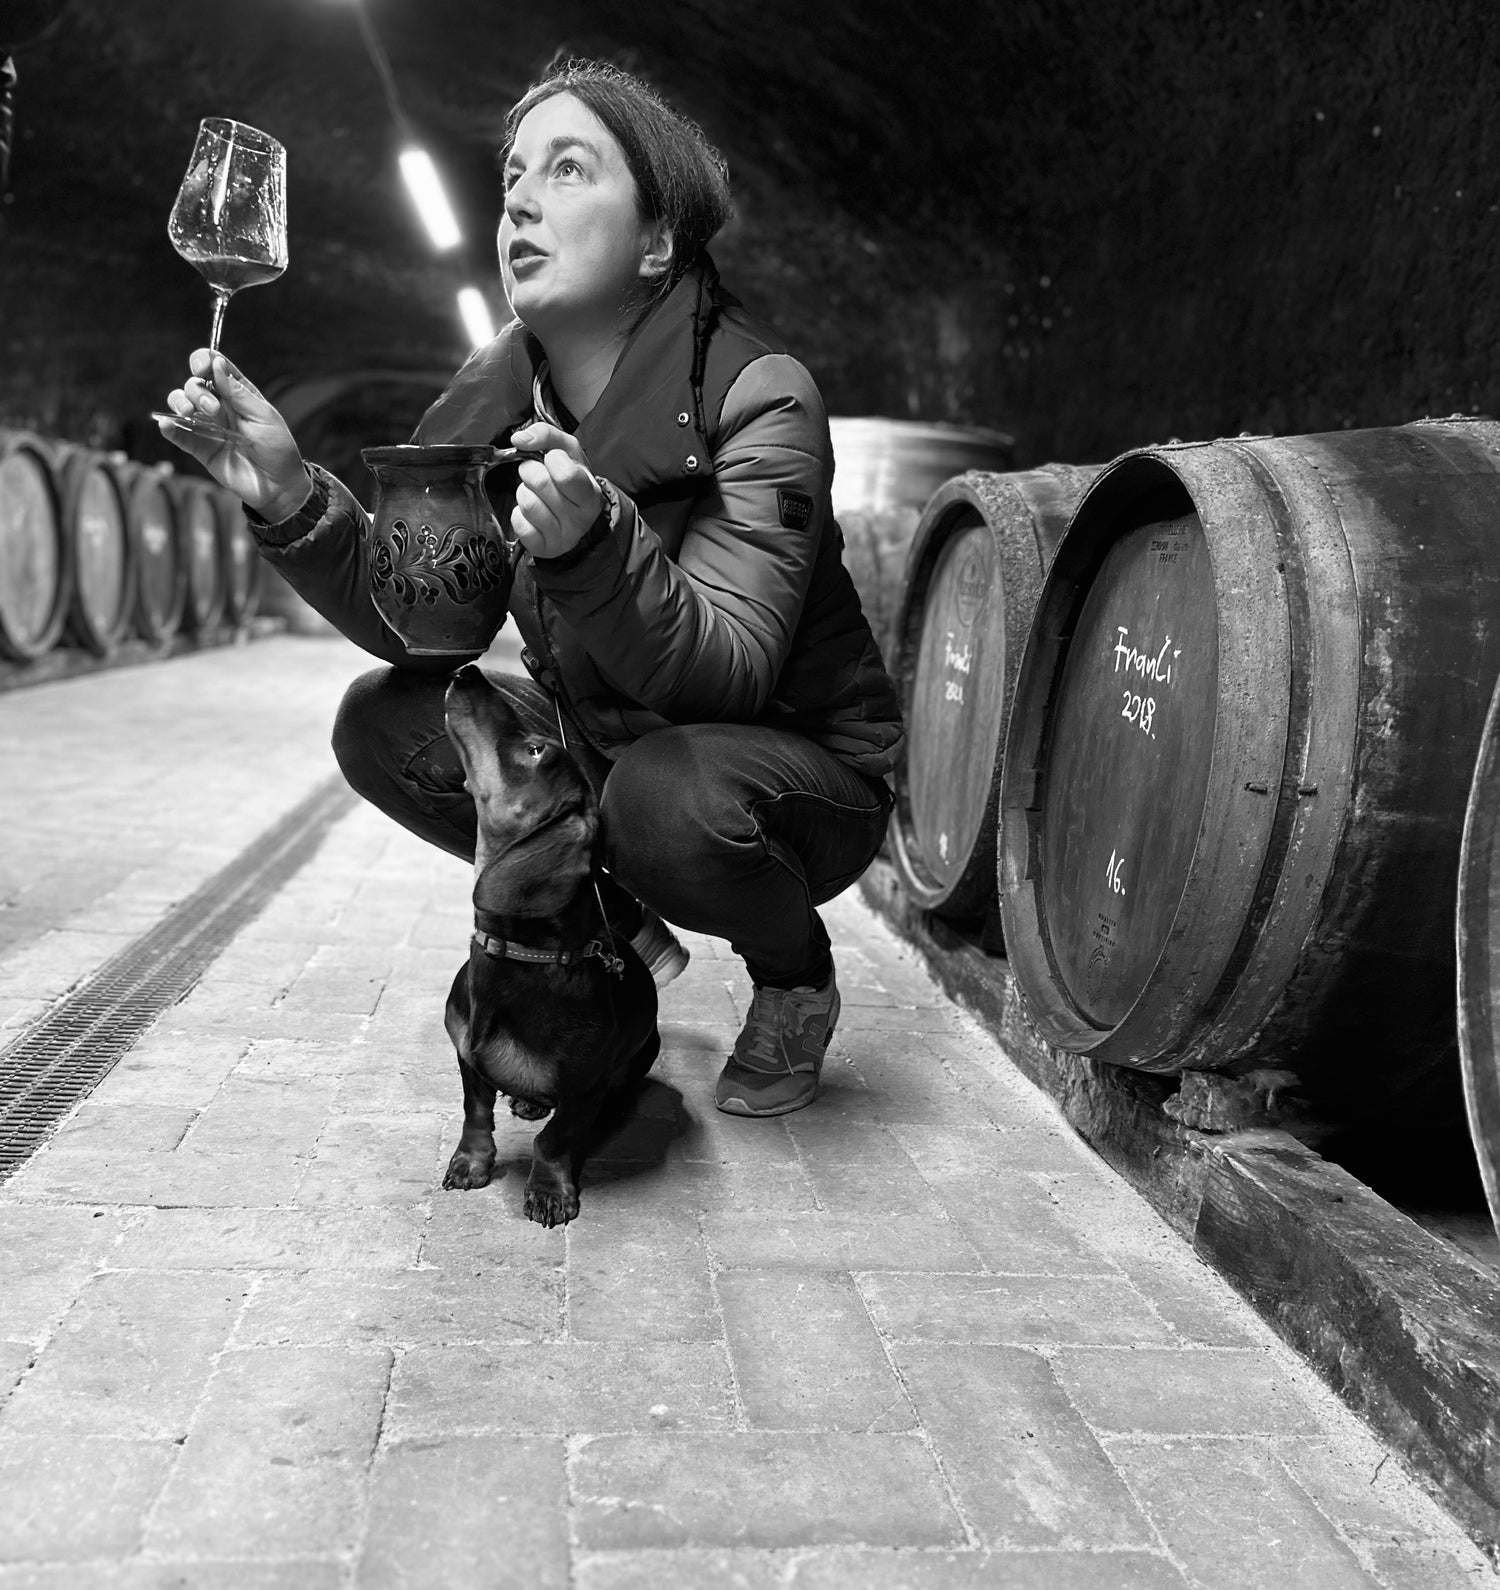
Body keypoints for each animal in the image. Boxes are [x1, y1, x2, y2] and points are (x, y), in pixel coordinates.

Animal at [440, 664, 659, 1226]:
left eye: (536, 749)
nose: (467, 671)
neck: (517, 953)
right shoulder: (467, 1056)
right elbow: (475, 1113)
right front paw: (470, 1162)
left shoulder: (584, 1086)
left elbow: (555, 1140)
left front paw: (549, 1190)